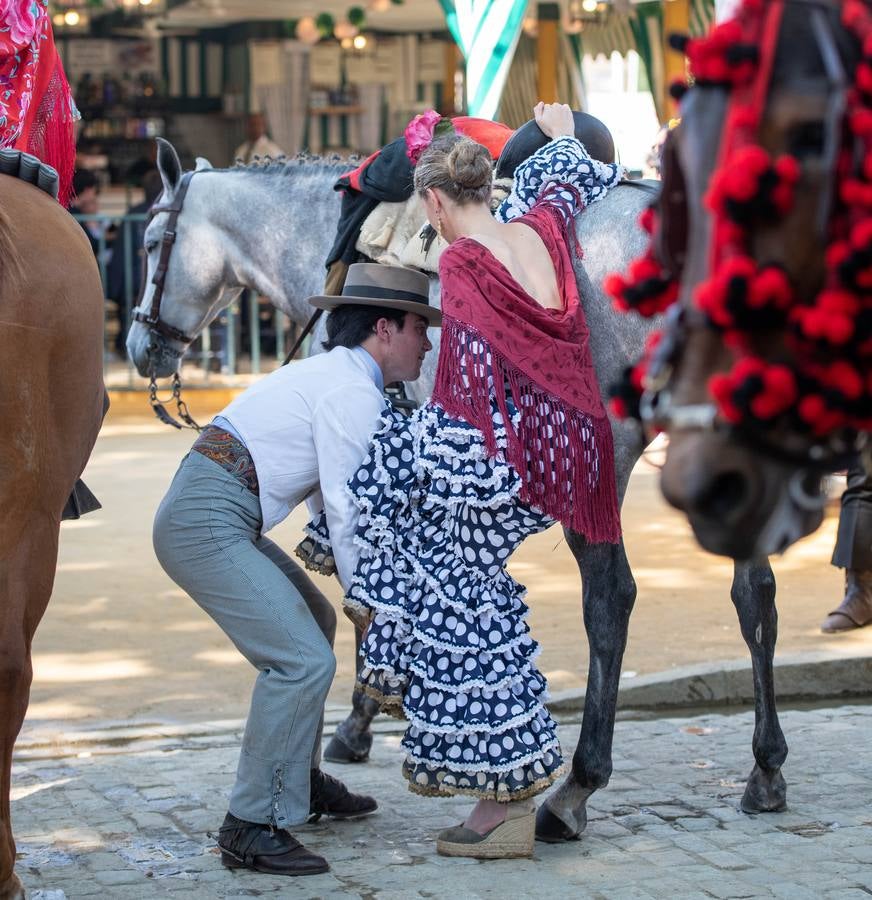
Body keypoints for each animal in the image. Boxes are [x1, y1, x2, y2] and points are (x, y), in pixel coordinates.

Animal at [127, 141, 792, 844]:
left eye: (150, 243)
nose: (139, 344)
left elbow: (365, 595)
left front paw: (358, 719)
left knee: (611, 601)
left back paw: (575, 789)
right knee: (755, 597)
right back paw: (765, 769)